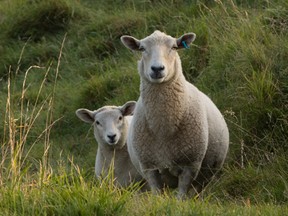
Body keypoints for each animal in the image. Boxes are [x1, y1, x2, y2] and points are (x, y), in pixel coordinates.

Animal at [121, 30, 230, 199]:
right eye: (142, 48)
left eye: (173, 47)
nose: (157, 68)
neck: (163, 129)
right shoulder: (149, 168)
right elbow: (157, 194)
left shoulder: (190, 165)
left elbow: (181, 196)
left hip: (206, 174)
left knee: (197, 191)